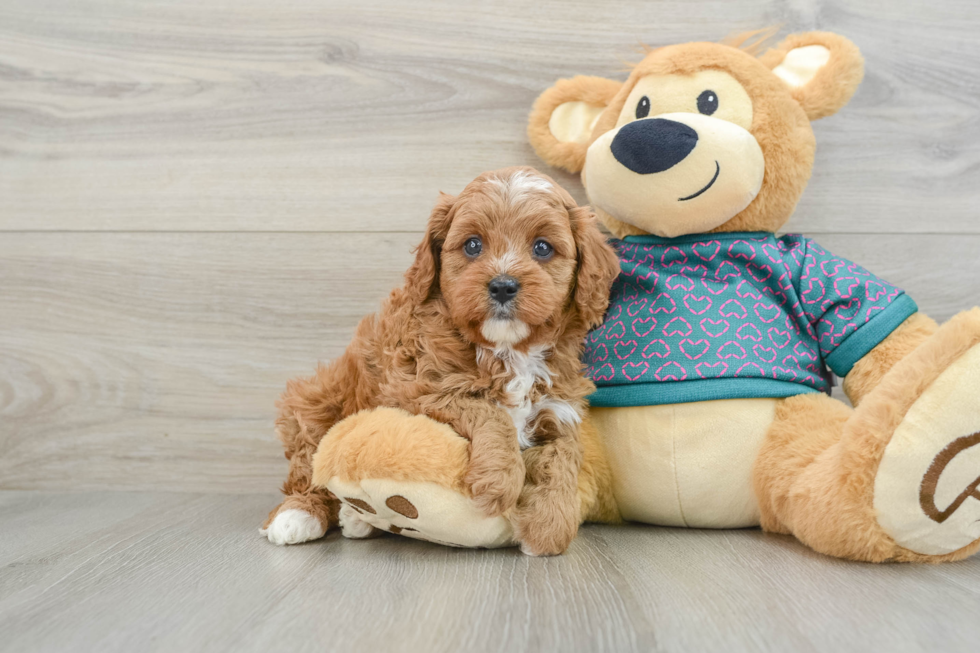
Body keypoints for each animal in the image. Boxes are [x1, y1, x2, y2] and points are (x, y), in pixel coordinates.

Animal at [264, 166, 616, 552]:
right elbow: (488, 410)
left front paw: (549, 527)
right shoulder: (417, 388)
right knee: (306, 467)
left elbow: (563, 456)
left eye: (542, 247)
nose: (503, 285)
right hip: (317, 400)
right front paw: (500, 482)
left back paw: (357, 519)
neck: (508, 350)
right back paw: (298, 516)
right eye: (473, 245)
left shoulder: (559, 406)